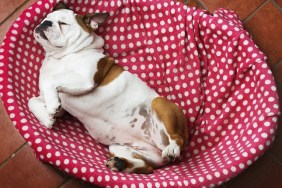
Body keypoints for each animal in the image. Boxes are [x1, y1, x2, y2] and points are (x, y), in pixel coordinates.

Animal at [28, 2, 188, 174]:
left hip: (160, 105)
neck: (59, 57)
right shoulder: (59, 102)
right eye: (46, 17)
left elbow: (51, 81)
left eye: (63, 24)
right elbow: (33, 100)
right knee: (147, 167)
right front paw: (46, 118)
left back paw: (172, 149)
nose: (45, 23)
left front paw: (51, 107)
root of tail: (159, 147)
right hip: (120, 148)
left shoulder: (85, 79)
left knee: (177, 138)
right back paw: (120, 164)